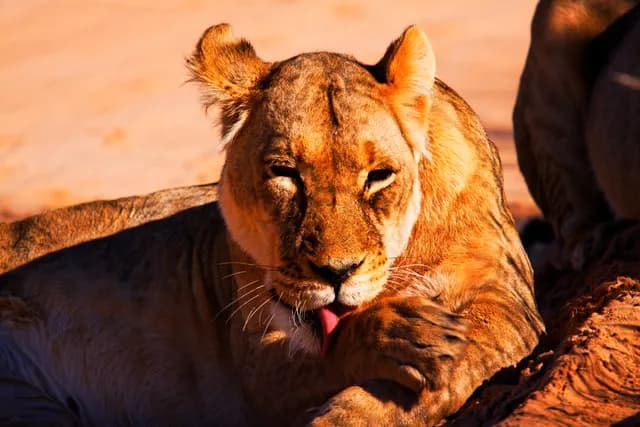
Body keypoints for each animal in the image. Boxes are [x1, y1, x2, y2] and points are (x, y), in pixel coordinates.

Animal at [0, 24, 543, 425]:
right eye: (285, 173)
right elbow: (337, 348)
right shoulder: (253, 366)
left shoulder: (507, 297)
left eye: (379, 176)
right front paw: (399, 334)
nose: (337, 273)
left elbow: (460, 355)